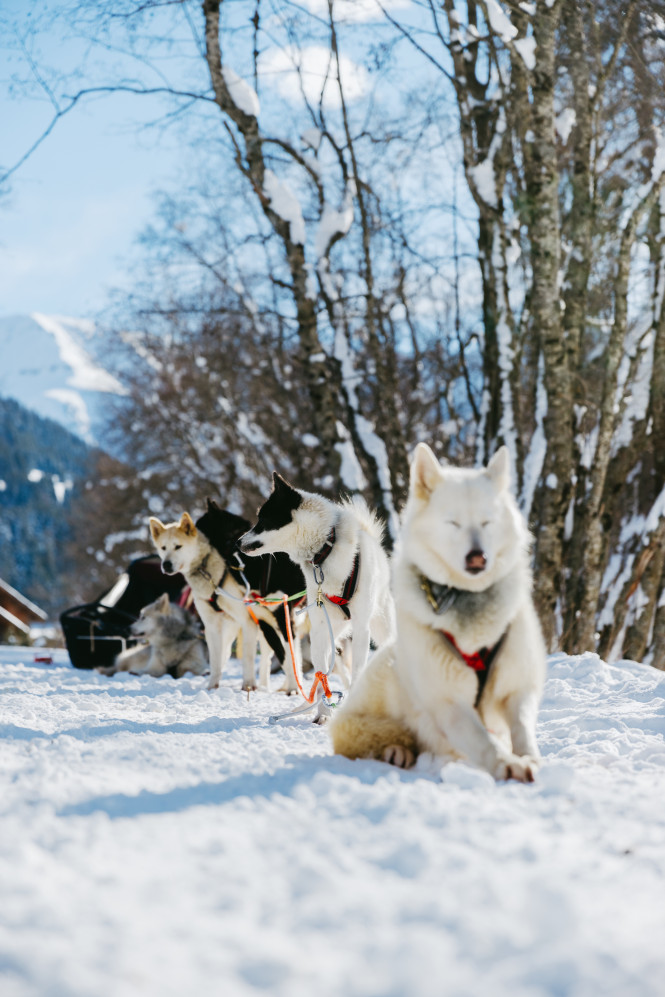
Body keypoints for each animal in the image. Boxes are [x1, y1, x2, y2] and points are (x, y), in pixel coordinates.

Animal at [239, 474, 394, 684]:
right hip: (331, 629)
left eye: (263, 518)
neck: (326, 548)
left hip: (379, 624)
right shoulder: (319, 628)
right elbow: (321, 673)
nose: (238, 542)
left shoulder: (361, 627)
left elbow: (357, 672)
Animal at [330, 448, 544, 784]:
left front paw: (528, 758)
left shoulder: (518, 686)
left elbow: (522, 729)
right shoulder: (449, 702)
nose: (477, 557)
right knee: (361, 737)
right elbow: (484, 740)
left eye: (487, 522)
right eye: (452, 522)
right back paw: (396, 750)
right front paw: (507, 764)